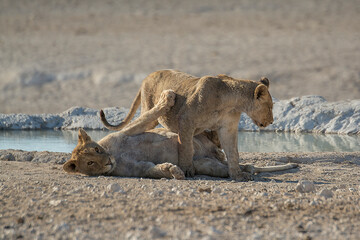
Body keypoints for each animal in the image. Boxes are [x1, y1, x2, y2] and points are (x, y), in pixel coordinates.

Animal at [64, 89, 296, 178]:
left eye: (96, 149)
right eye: (90, 163)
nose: (107, 162)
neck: (115, 155)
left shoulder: (127, 132)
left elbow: (147, 117)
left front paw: (167, 96)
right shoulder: (137, 169)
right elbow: (154, 169)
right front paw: (173, 170)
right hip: (205, 164)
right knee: (230, 168)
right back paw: (244, 172)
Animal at [99, 69, 272, 180]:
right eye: (270, 106)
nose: (271, 121)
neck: (231, 103)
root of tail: (147, 76)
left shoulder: (228, 128)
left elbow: (233, 153)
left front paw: (237, 175)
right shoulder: (186, 120)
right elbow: (186, 147)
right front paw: (187, 169)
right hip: (149, 109)